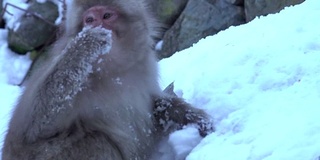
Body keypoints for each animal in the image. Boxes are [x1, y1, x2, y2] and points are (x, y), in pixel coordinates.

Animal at [2, 0, 214, 159]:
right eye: (89, 19)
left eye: (106, 16)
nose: (97, 25)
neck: (112, 71)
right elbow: (33, 129)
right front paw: (87, 42)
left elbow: (157, 107)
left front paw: (195, 119)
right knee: (96, 141)